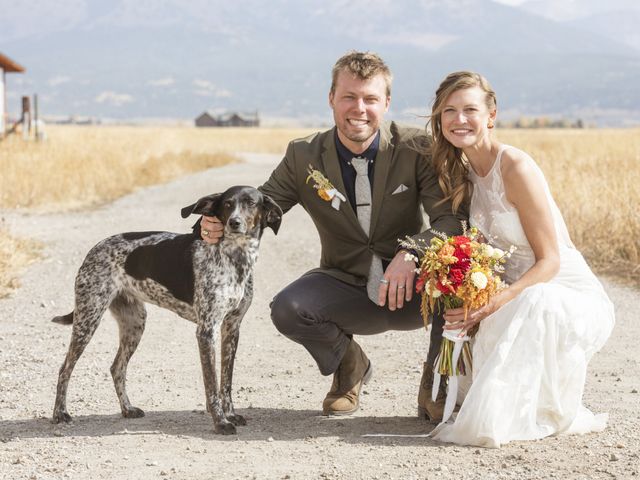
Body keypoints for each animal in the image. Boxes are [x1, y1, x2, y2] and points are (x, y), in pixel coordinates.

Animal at [53, 187, 284, 436]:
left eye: (251, 203)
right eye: (227, 204)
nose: (235, 222)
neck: (236, 257)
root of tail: (94, 249)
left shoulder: (231, 328)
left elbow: (226, 381)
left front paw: (230, 414)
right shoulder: (207, 331)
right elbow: (212, 385)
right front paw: (220, 422)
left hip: (134, 323)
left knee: (117, 368)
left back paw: (127, 409)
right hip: (88, 317)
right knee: (65, 368)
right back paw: (60, 413)